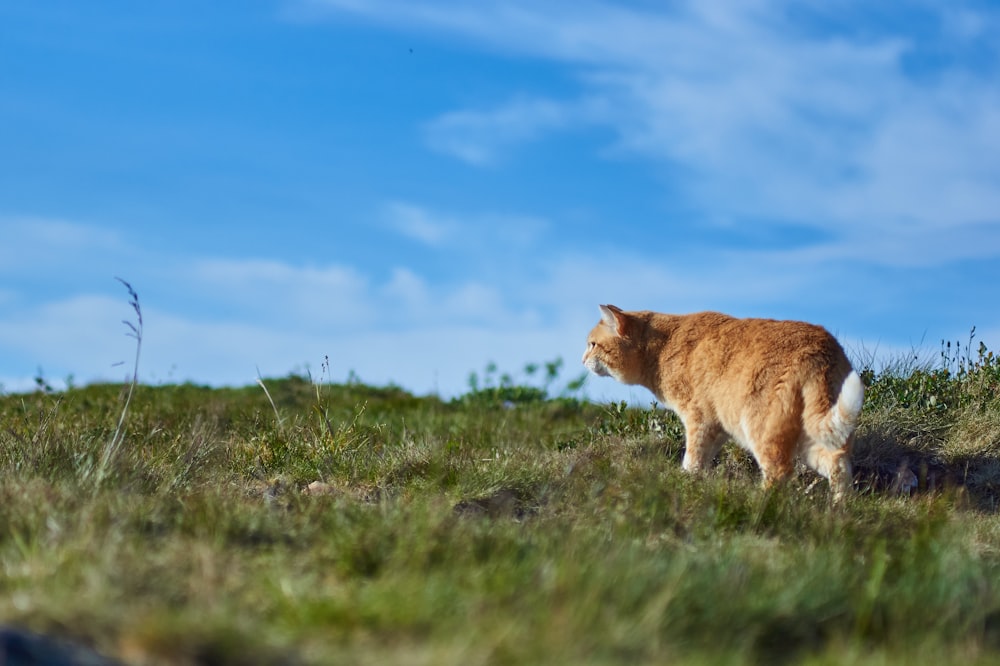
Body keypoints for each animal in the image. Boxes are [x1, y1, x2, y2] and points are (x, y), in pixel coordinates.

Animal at [584, 304, 864, 500]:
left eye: (593, 345)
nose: (582, 359)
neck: (661, 349)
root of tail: (822, 350)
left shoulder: (698, 418)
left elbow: (692, 456)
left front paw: (683, 482)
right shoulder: (717, 426)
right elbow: (703, 459)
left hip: (761, 428)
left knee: (780, 473)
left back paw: (758, 503)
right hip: (810, 436)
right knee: (838, 463)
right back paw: (839, 511)